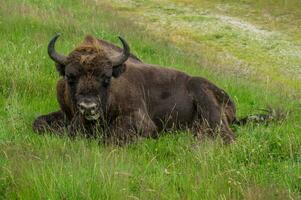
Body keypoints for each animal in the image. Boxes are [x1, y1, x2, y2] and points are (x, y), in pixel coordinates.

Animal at [33, 33, 270, 145]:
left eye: (106, 78)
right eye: (70, 77)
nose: (88, 107)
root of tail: (229, 100)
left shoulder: (141, 121)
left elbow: (114, 135)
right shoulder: (65, 113)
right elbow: (39, 123)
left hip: (204, 96)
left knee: (226, 136)